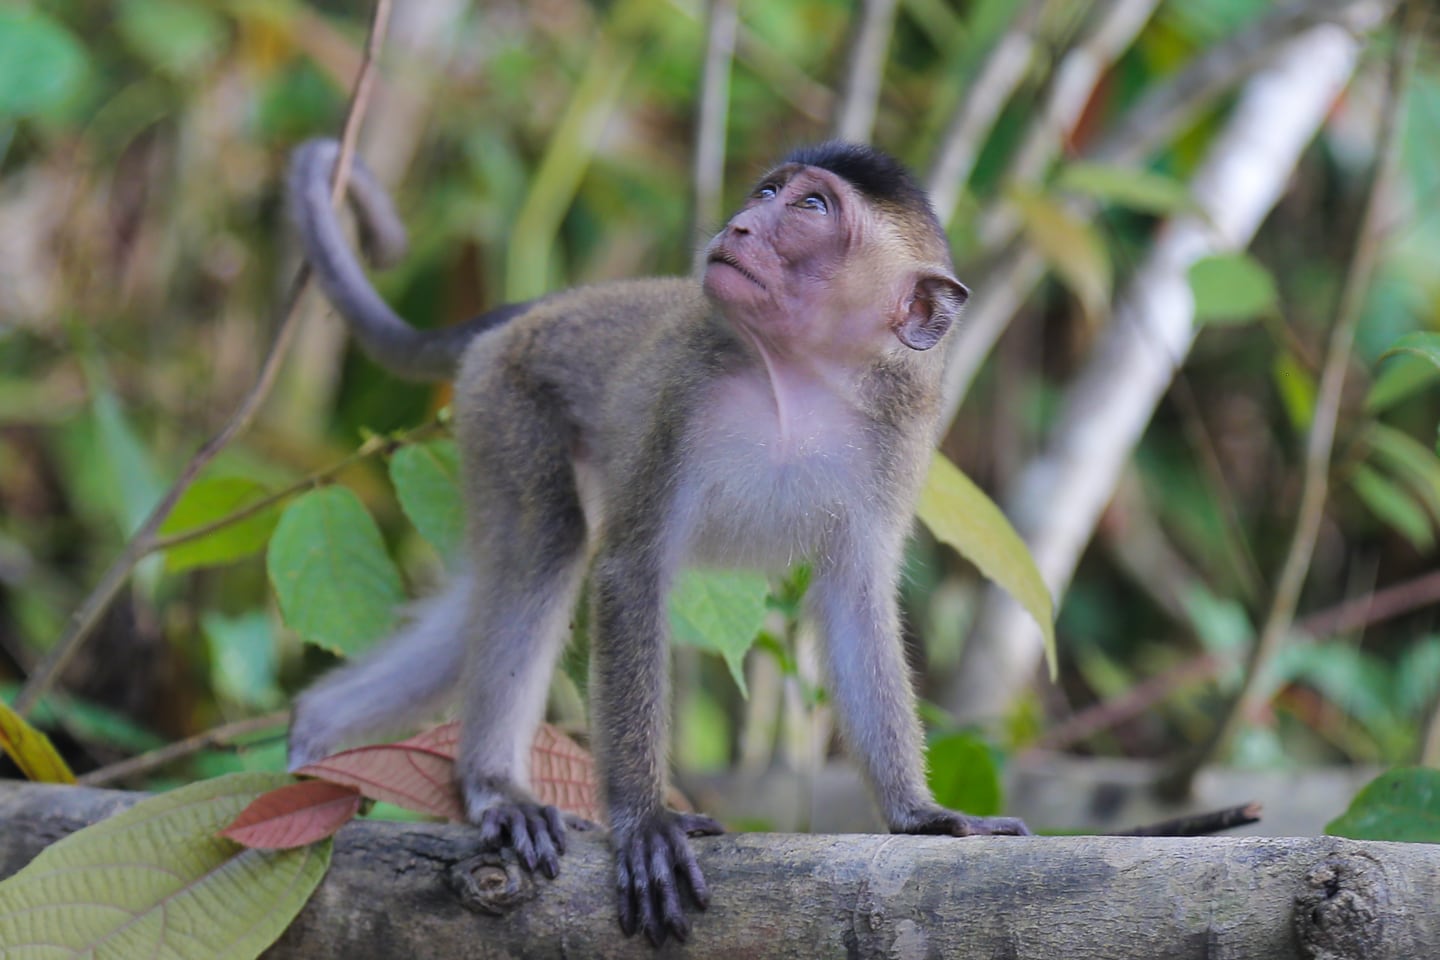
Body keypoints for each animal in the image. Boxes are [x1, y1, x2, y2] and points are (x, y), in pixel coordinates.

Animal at [283, 136, 1025, 944]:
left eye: (810, 207)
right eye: (768, 191)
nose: (739, 225)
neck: (801, 376)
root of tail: (543, 310)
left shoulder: (901, 438)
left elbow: (856, 602)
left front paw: (920, 813)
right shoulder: (681, 396)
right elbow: (629, 571)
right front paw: (642, 821)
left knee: (490, 599)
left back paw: (317, 738)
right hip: (505, 397)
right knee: (547, 548)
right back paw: (493, 787)